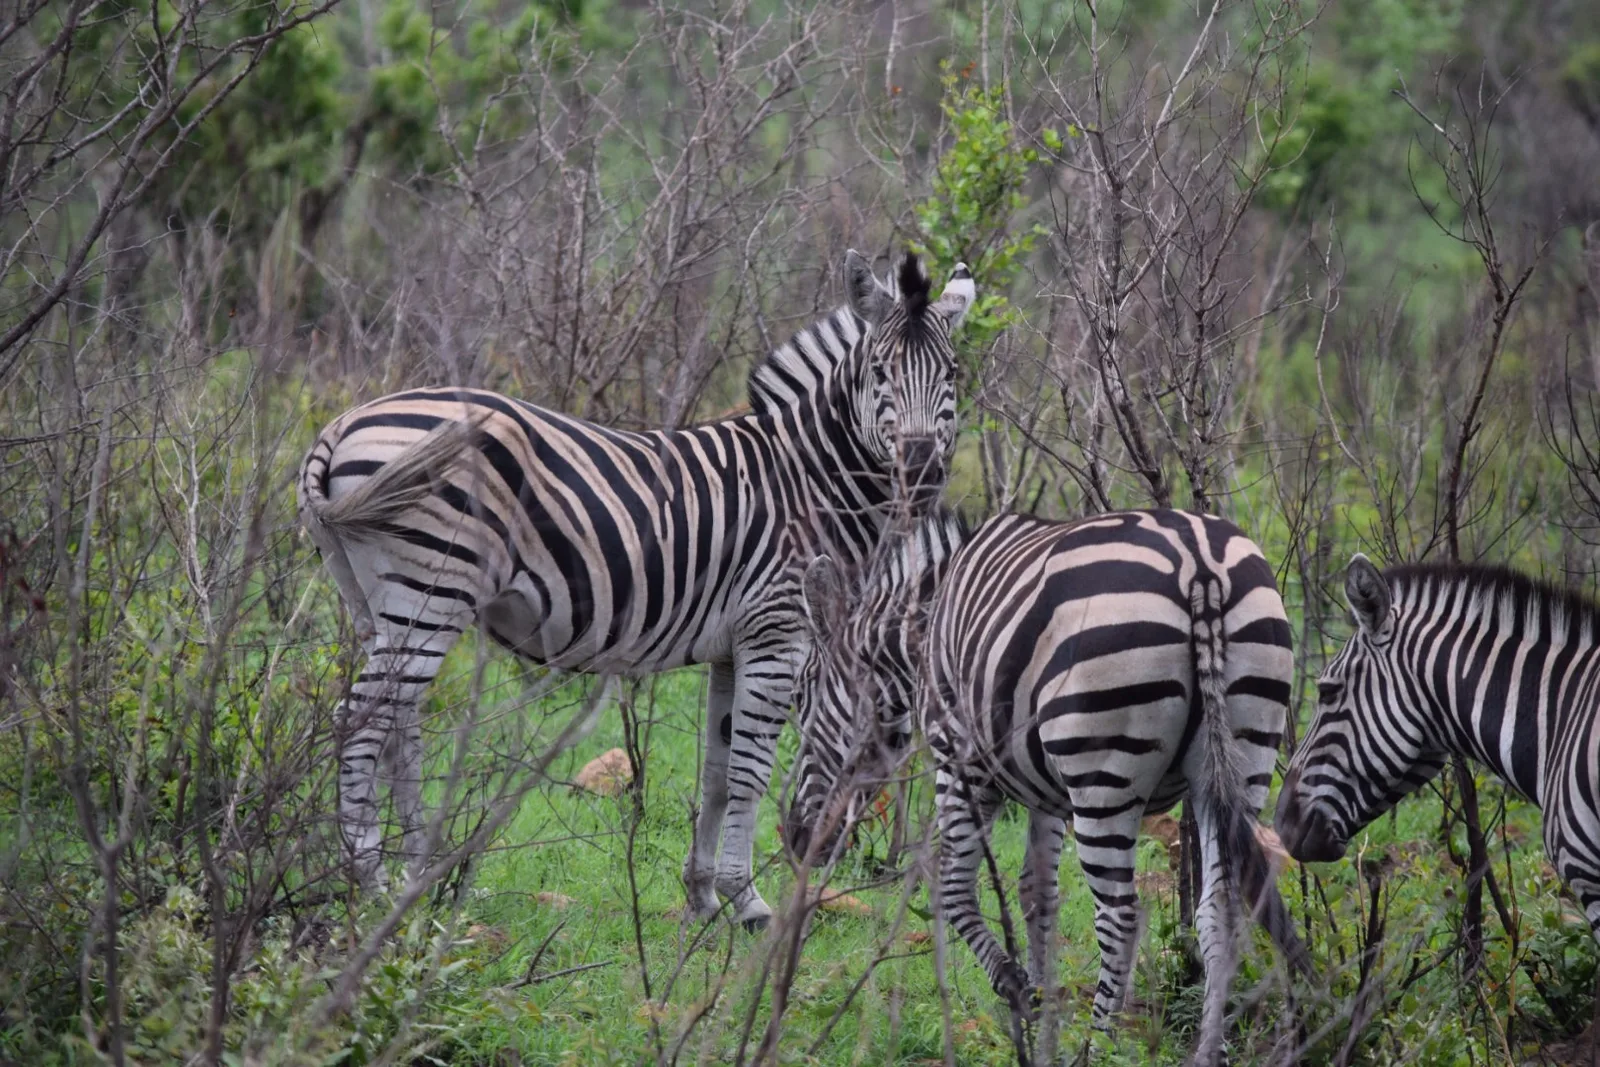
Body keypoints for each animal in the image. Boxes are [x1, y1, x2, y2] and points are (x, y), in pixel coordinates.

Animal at [296, 251, 975, 928]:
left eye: (952, 374)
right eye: (881, 372)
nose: (921, 467)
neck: (812, 479)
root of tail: (341, 425)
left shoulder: (732, 647)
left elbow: (717, 772)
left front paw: (703, 897)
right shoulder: (777, 633)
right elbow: (750, 774)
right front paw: (749, 903)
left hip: (378, 603)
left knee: (399, 728)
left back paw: (414, 875)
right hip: (430, 589)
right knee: (360, 724)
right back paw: (370, 880)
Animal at [789, 508, 1310, 1063]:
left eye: (800, 696)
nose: (798, 839)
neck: (923, 629)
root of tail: (1199, 566)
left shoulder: (960, 756)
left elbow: (952, 887)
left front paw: (1018, 988)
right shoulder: (1043, 787)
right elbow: (1036, 893)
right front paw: (1039, 1014)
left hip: (1102, 772)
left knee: (1120, 918)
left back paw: (1098, 1046)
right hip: (1238, 761)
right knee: (1219, 914)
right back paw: (1209, 1052)